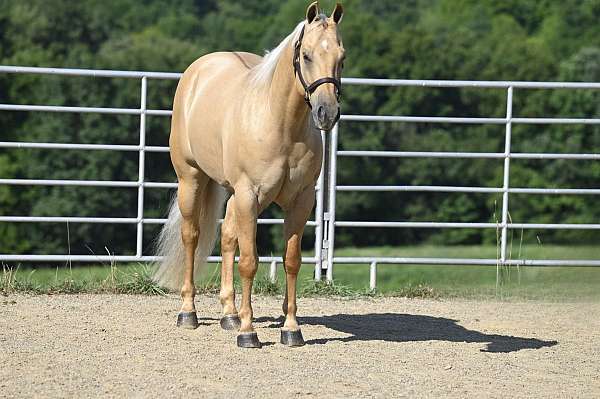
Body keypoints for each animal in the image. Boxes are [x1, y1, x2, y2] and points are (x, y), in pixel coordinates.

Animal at [152, 1, 344, 348]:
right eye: (307, 55)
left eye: (342, 57)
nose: (327, 113)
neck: (280, 123)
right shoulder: (249, 195)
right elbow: (249, 262)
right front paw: (248, 332)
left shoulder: (300, 201)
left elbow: (291, 261)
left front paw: (291, 329)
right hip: (192, 180)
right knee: (191, 236)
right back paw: (189, 313)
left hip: (234, 196)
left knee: (228, 236)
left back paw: (229, 314)